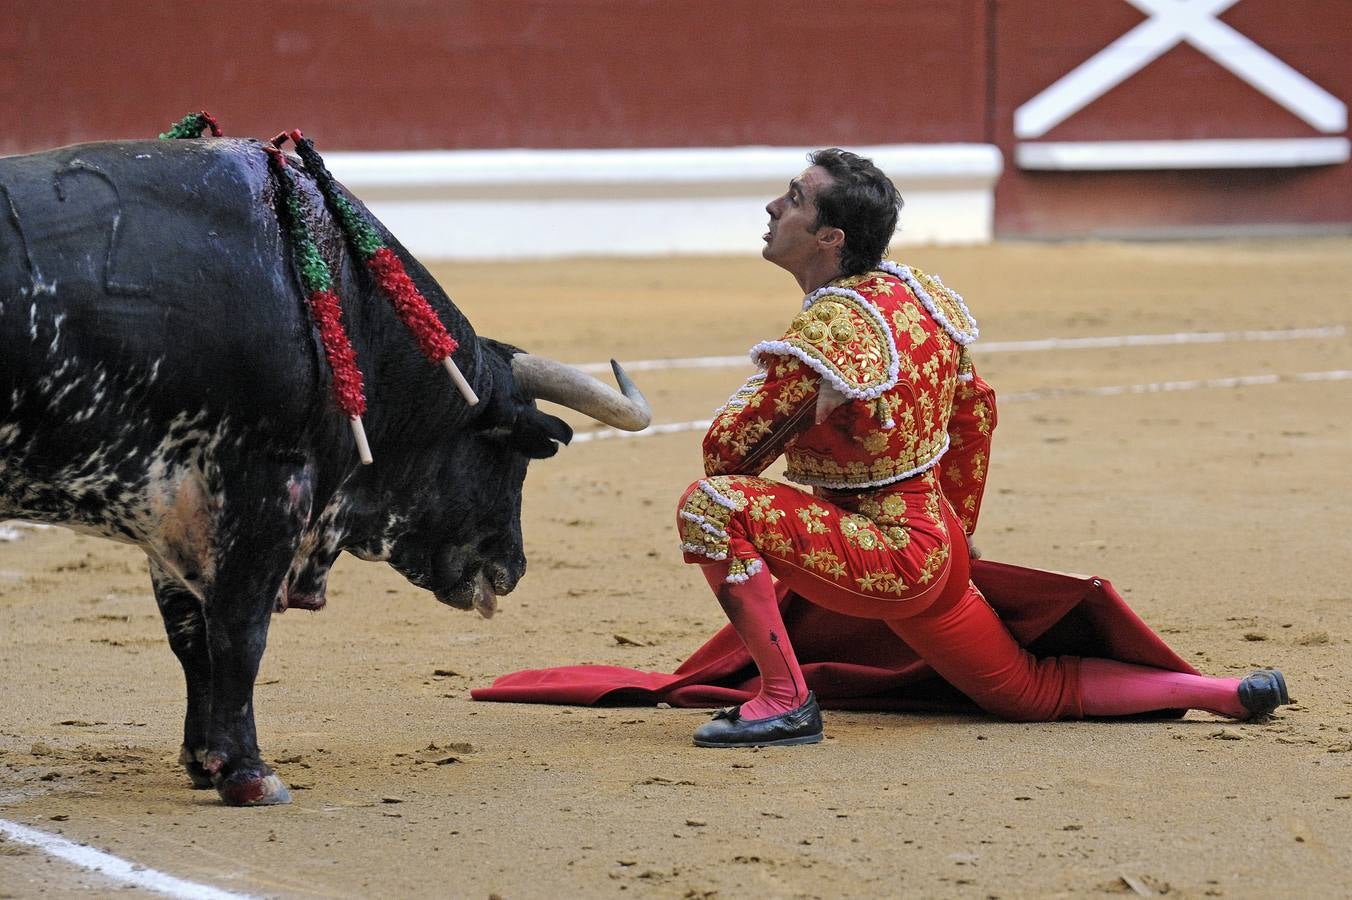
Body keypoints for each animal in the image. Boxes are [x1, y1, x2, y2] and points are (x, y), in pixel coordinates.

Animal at [0, 141, 648, 805]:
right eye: (513, 457)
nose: (512, 569)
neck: (347, 310)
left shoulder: (173, 506)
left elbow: (192, 637)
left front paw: (204, 761)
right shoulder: (266, 489)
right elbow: (240, 630)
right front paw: (250, 774)